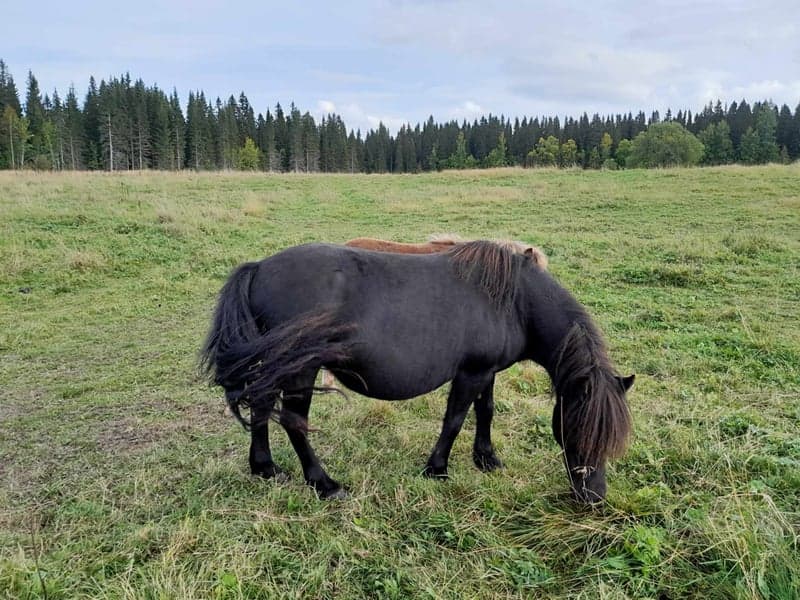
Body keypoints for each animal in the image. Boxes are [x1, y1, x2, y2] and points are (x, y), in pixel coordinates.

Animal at [203, 241, 636, 504]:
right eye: (580, 430)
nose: (594, 497)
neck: (515, 299)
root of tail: (259, 267)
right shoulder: (470, 373)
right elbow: (455, 419)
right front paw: (438, 468)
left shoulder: (488, 371)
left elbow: (485, 412)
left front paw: (486, 459)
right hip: (299, 371)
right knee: (294, 422)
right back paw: (323, 484)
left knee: (261, 406)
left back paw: (264, 468)